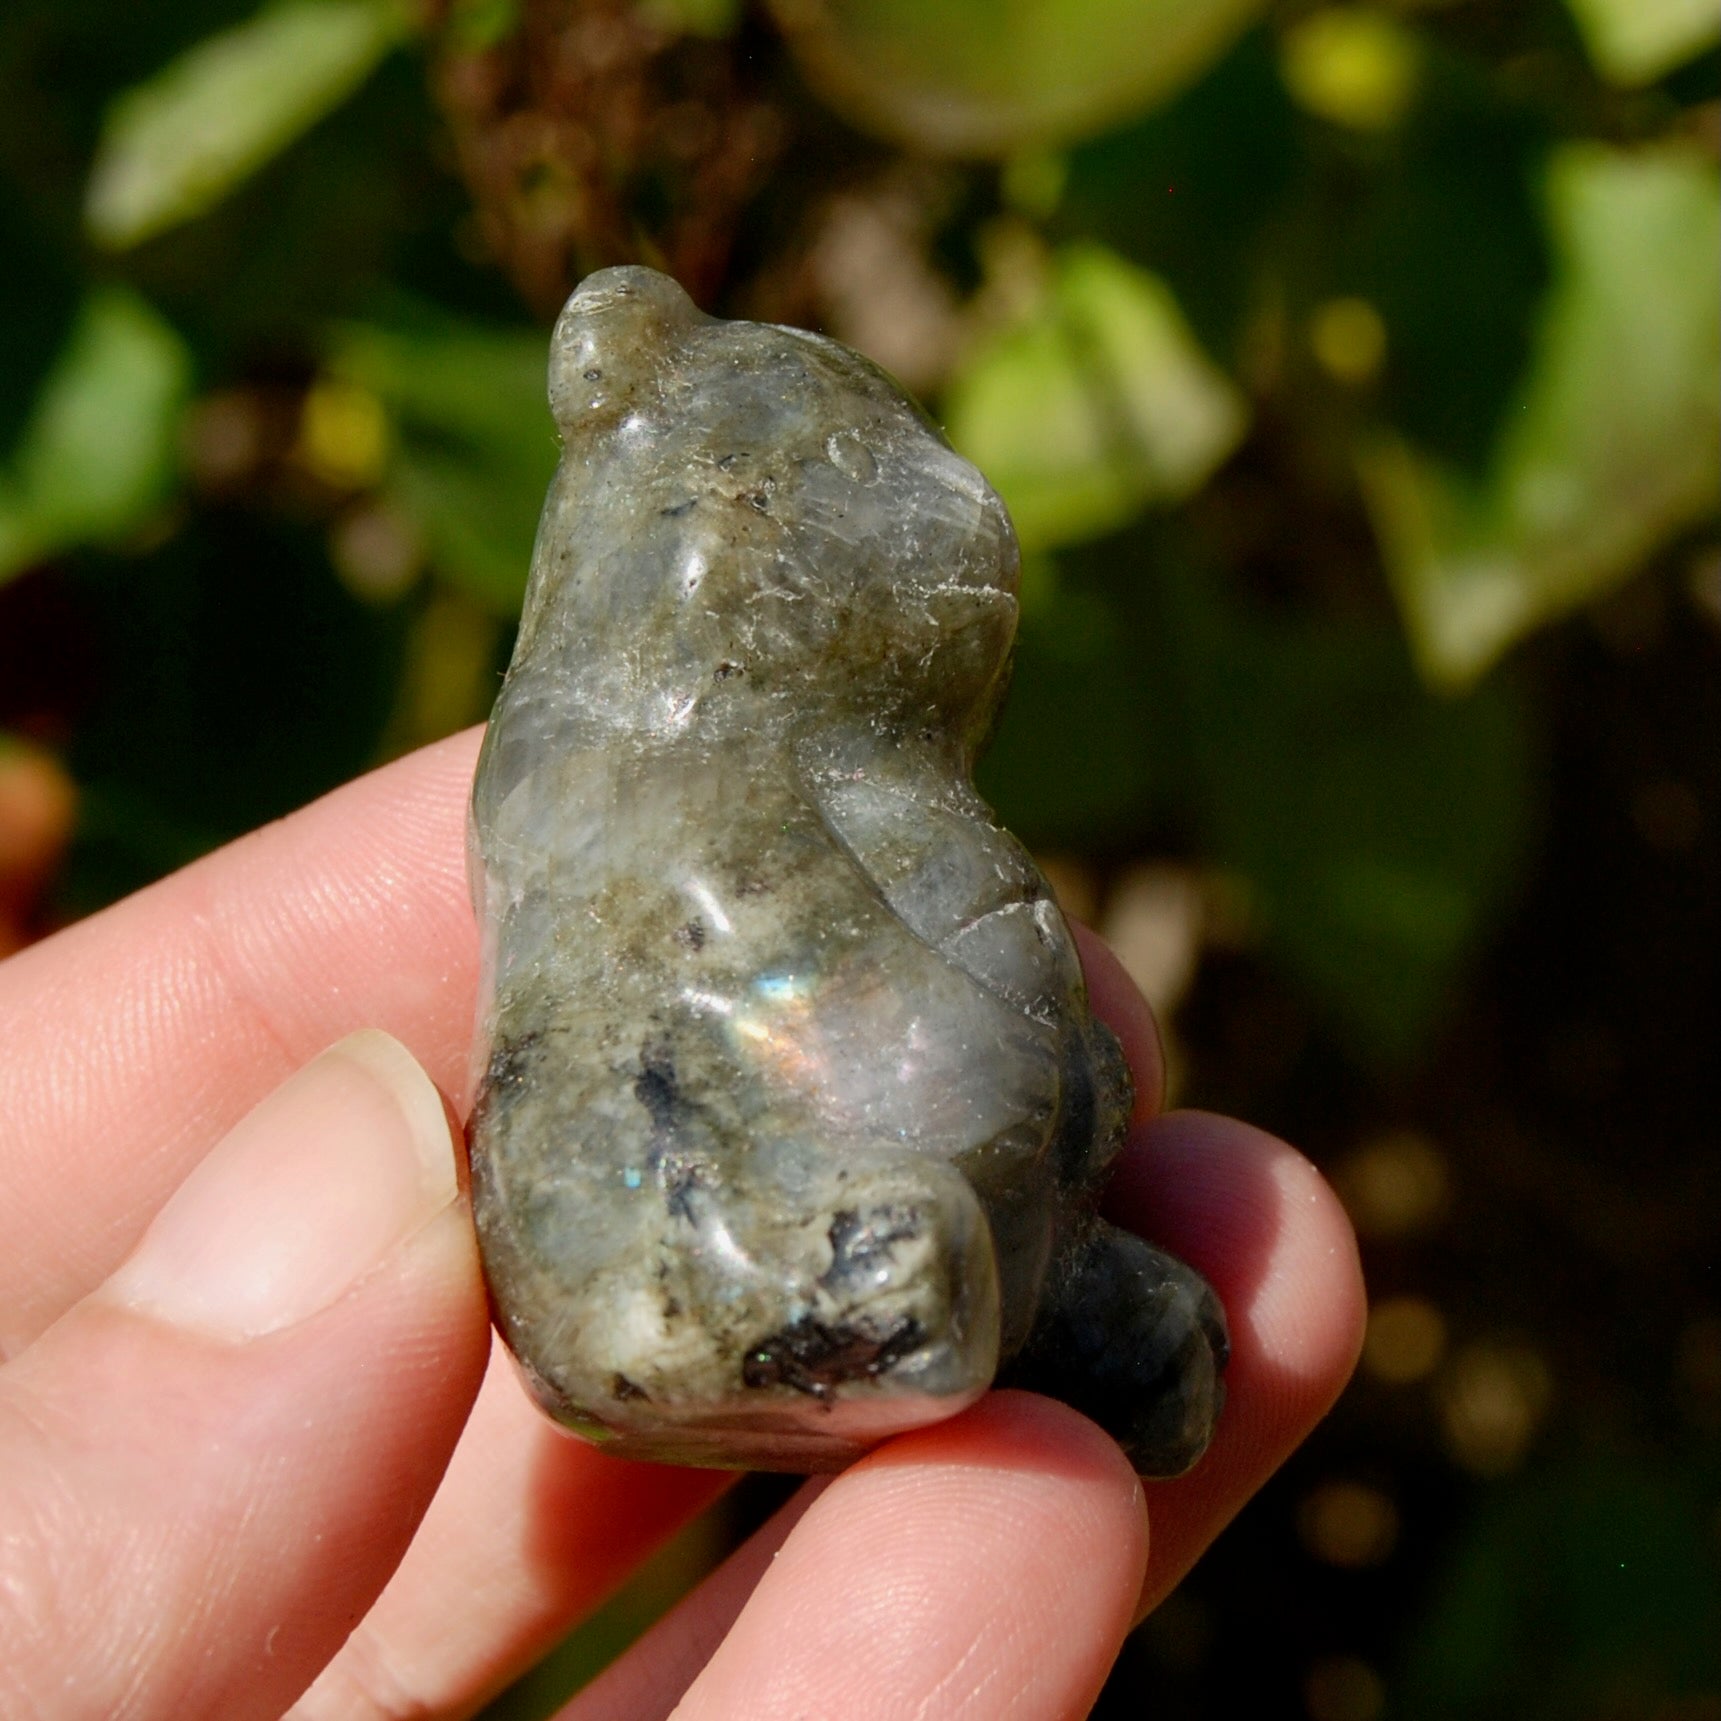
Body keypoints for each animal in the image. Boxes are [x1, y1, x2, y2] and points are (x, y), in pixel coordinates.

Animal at [466, 265, 1227, 1474]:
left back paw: (1163, 1354)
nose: (980, 498)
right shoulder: (671, 822)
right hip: (640, 1218)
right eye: (853, 449)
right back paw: (904, 1290)